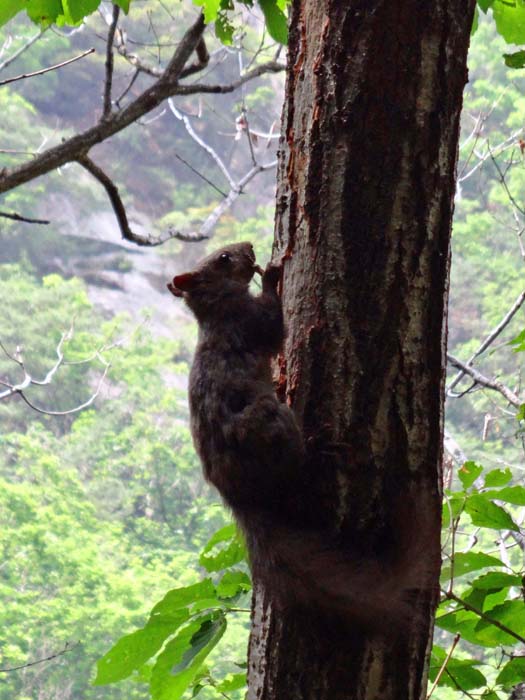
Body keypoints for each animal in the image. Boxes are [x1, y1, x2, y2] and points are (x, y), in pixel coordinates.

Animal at [168, 243, 430, 632]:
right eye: (224, 259)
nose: (249, 246)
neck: (216, 308)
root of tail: (238, 497)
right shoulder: (249, 322)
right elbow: (275, 328)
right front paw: (273, 274)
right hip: (271, 422)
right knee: (296, 467)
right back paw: (318, 448)